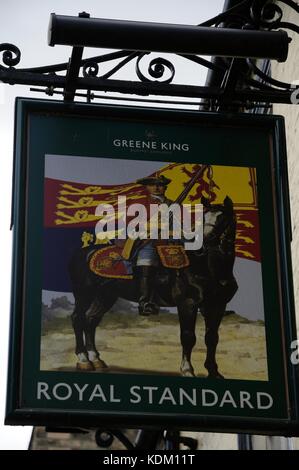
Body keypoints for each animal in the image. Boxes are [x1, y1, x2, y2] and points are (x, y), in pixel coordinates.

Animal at [68, 196, 239, 378]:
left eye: (222, 218)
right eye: (204, 218)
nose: (203, 243)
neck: (208, 266)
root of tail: (80, 253)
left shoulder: (217, 306)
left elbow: (212, 338)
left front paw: (214, 371)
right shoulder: (187, 304)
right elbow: (188, 337)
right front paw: (187, 369)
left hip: (105, 296)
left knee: (91, 320)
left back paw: (96, 359)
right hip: (84, 294)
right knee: (78, 319)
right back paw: (83, 360)